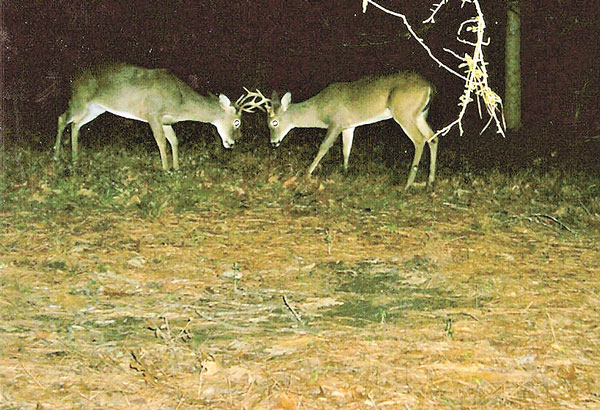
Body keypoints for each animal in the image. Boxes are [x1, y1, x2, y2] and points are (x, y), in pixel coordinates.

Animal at [54, 64, 265, 170]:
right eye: (237, 121)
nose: (234, 142)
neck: (180, 101)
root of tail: (73, 78)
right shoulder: (152, 113)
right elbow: (161, 142)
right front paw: (165, 169)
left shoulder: (166, 120)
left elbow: (174, 140)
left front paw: (177, 168)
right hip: (80, 99)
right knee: (62, 118)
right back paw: (56, 155)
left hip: (96, 108)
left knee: (76, 124)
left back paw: (75, 158)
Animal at [263, 71, 438, 189]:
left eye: (274, 122)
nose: (273, 143)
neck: (319, 110)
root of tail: (430, 86)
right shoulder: (348, 126)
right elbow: (346, 149)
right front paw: (345, 172)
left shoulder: (335, 123)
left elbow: (323, 147)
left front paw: (307, 173)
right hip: (419, 114)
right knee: (433, 137)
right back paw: (430, 182)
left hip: (404, 112)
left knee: (419, 140)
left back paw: (408, 184)